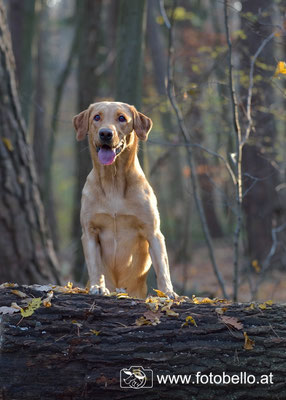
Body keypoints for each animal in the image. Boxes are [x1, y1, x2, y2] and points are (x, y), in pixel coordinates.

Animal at [72, 101, 175, 298]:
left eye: (121, 118)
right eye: (97, 117)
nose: (105, 133)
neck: (113, 181)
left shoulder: (153, 231)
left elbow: (163, 266)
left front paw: (167, 292)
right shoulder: (90, 231)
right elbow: (95, 265)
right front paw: (98, 286)